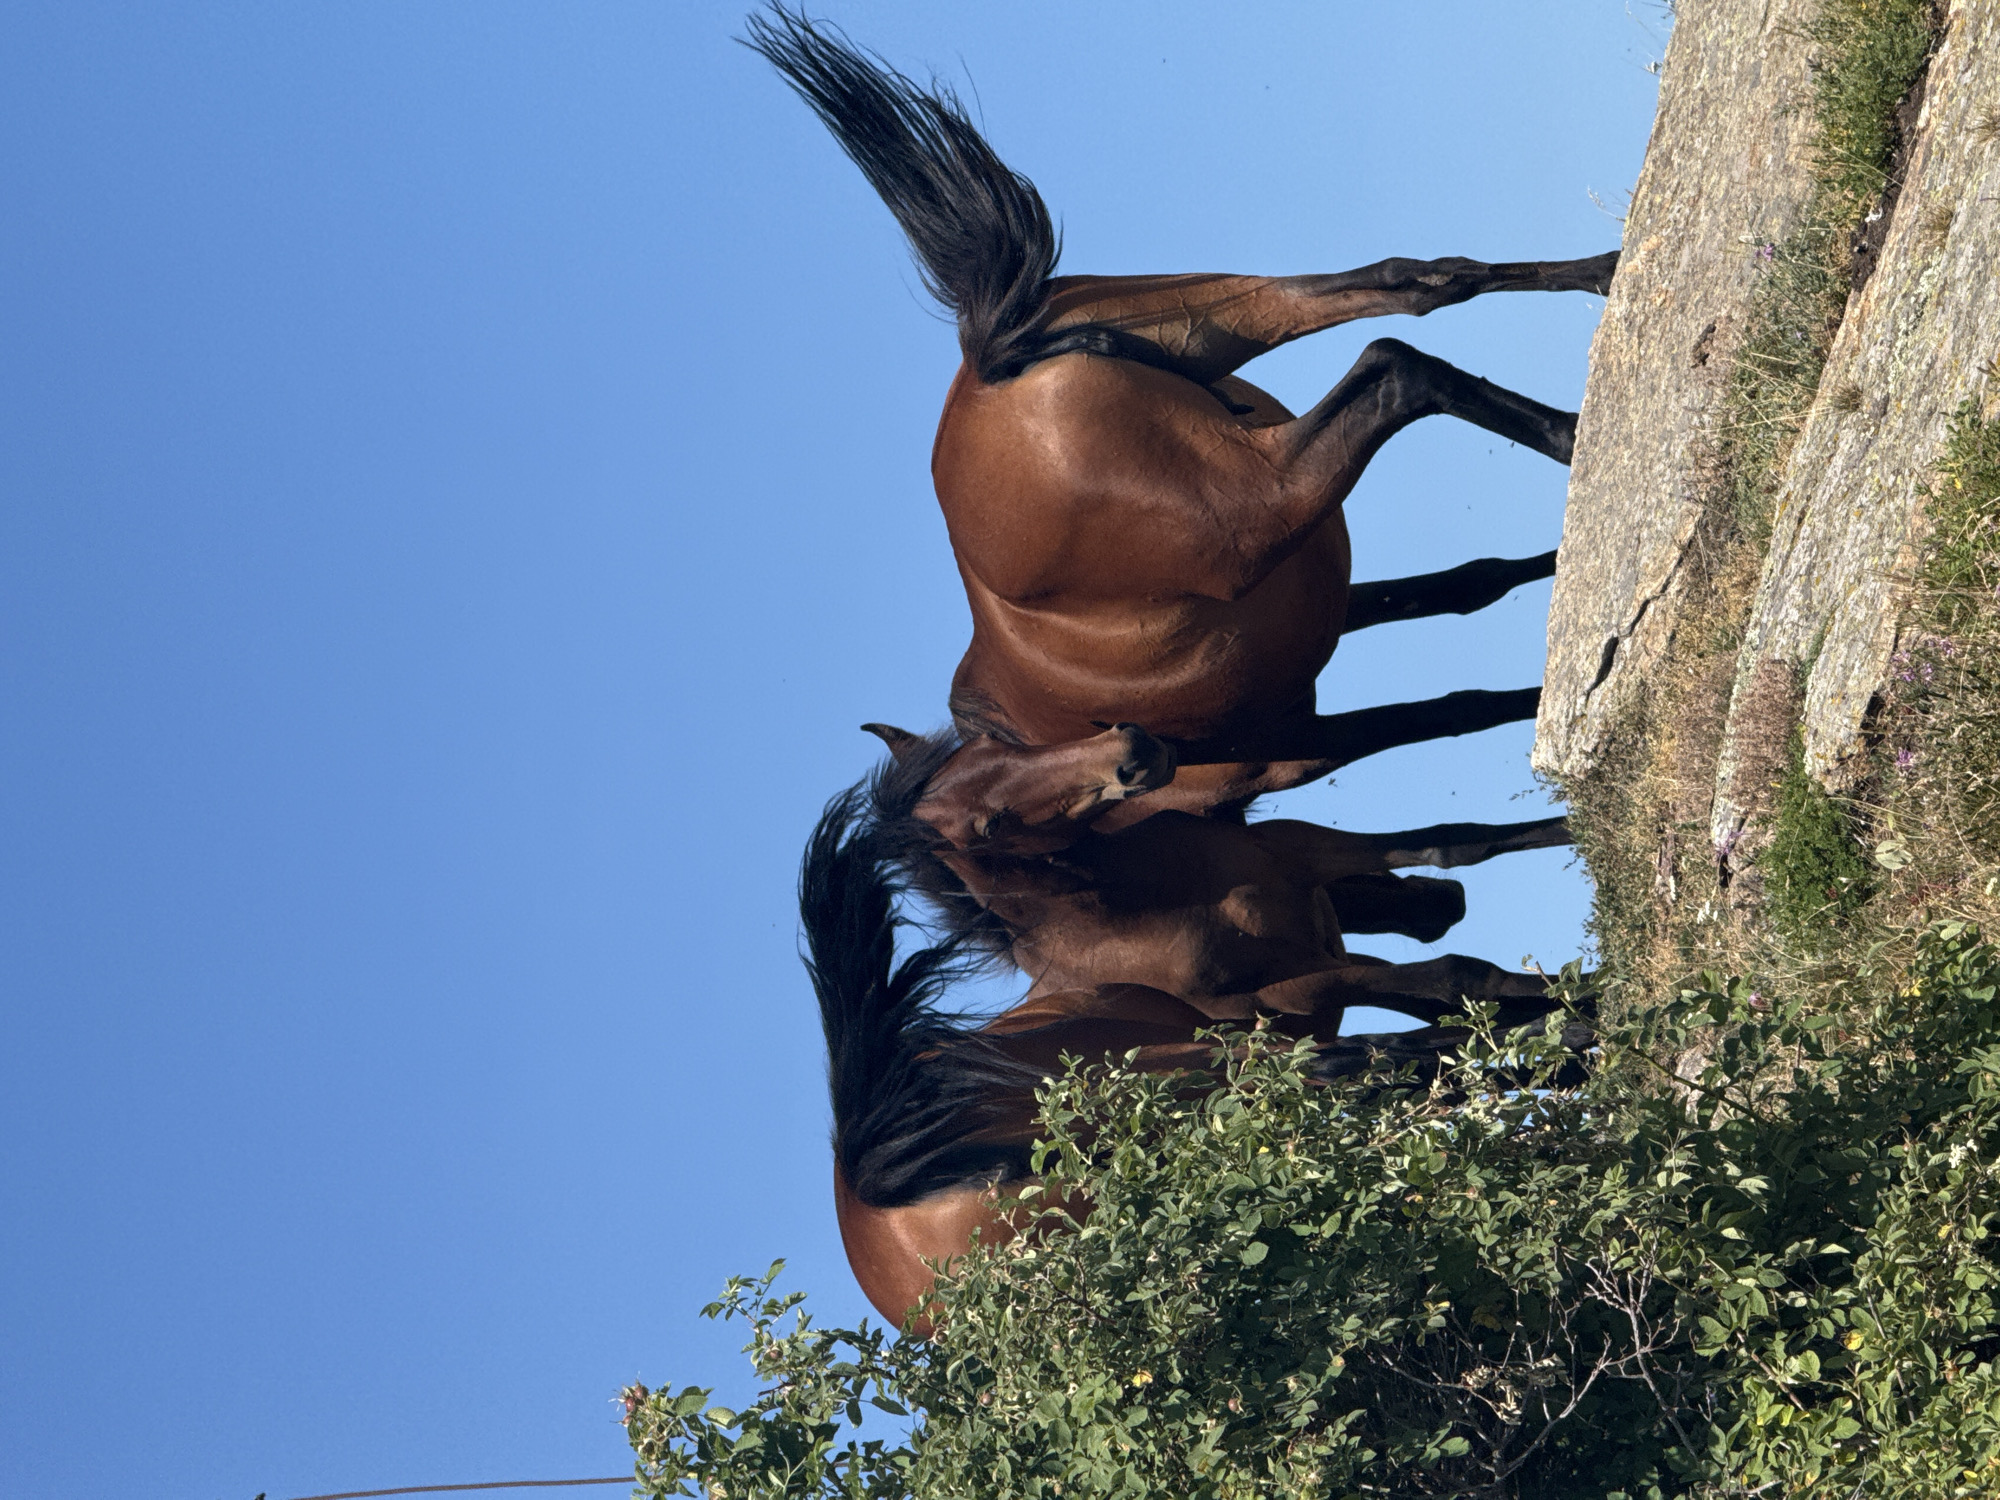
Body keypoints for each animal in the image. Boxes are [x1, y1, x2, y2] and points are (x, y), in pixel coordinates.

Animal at [747, 9, 1615, 819]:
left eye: (998, 821)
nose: (1134, 760)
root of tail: (993, 367)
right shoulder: (1330, 619)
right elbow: (1470, 586)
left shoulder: (1301, 742)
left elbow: (1455, 708)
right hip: (1221, 321)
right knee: (1418, 281)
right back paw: (1603, 281)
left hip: (1263, 498)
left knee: (1396, 367)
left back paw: (1570, 432)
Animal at [802, 773, 1588, 1333]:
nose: (1441, 906)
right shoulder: (1305, 982)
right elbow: (1458, 982)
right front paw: (1579, 1023)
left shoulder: (1316, 904)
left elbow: (1460, 864)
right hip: (1203, 1070)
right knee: (1373, 1063)